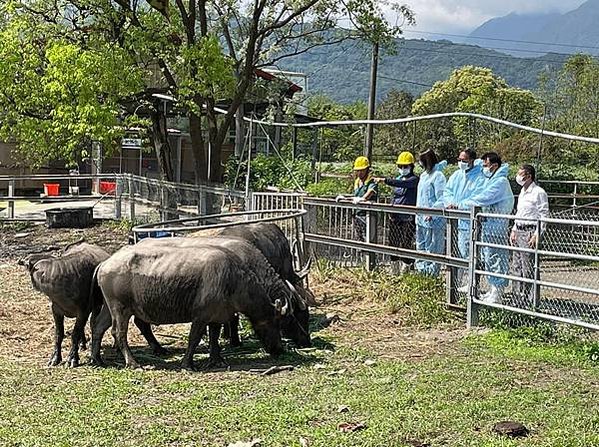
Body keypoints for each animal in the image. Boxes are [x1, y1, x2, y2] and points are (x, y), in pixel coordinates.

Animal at [92, 243, 298, 370]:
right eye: (276, 323)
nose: (279, 350)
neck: (232, 279)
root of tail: (105, 263)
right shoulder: (200, 316)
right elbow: (194, 338)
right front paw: (187, 364)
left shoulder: (217, 316)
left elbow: (214, 338)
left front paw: (216, 360)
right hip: (120, 309)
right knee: (119, 333)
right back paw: (132, 362)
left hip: (109, 309)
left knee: (98, 328)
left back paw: (97, 359)